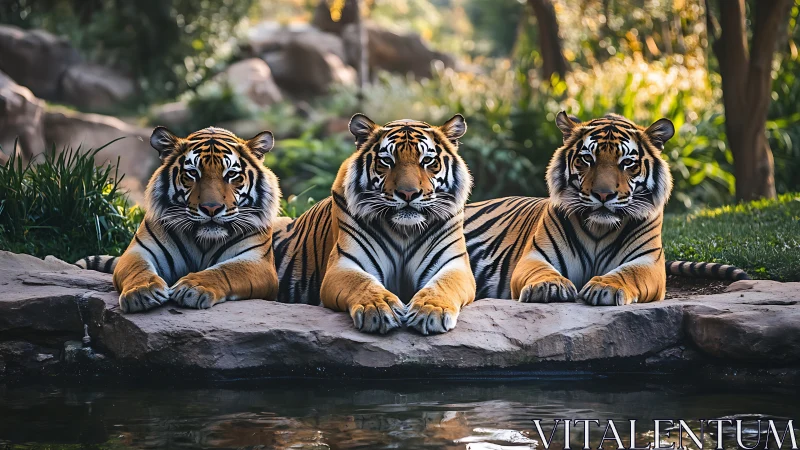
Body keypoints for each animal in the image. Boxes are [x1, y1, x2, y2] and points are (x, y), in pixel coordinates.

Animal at [76, 126, 281, 313]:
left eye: (231, 174)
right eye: (193, 173)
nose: (211, 208)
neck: (205, 242)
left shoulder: (258, 262)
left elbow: (227, 271)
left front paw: (193, 288)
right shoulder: (139, 250)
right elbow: (137, 268)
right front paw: (142, 291)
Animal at [272, 113, 476, 334]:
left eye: (427, 161)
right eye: (387, 161)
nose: (408, 194)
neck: (404, 230)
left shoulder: (454, 263)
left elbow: (442, 284)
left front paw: (431, 310)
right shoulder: (343, 264)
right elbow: (362, 282)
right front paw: (379, 308)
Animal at [464, 112, 749, 305]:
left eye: (627, 163)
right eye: (587, 159)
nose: (603, 194)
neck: (599, 230)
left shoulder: (647, 262)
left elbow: (629, 274)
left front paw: (607, 288)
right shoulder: (535, 256)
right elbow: (540, 271)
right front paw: (549, 286)